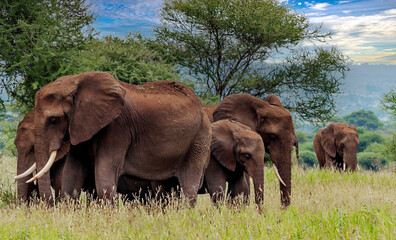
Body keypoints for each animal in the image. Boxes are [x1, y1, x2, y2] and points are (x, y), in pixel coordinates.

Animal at [18, 71, 212, 206]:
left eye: (53, 120)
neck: (76, 81)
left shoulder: (117, 128)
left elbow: (104, 178)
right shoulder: (81, 128)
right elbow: (71, 175)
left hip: (199, 140)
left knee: (188, 187)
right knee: (166, 187)